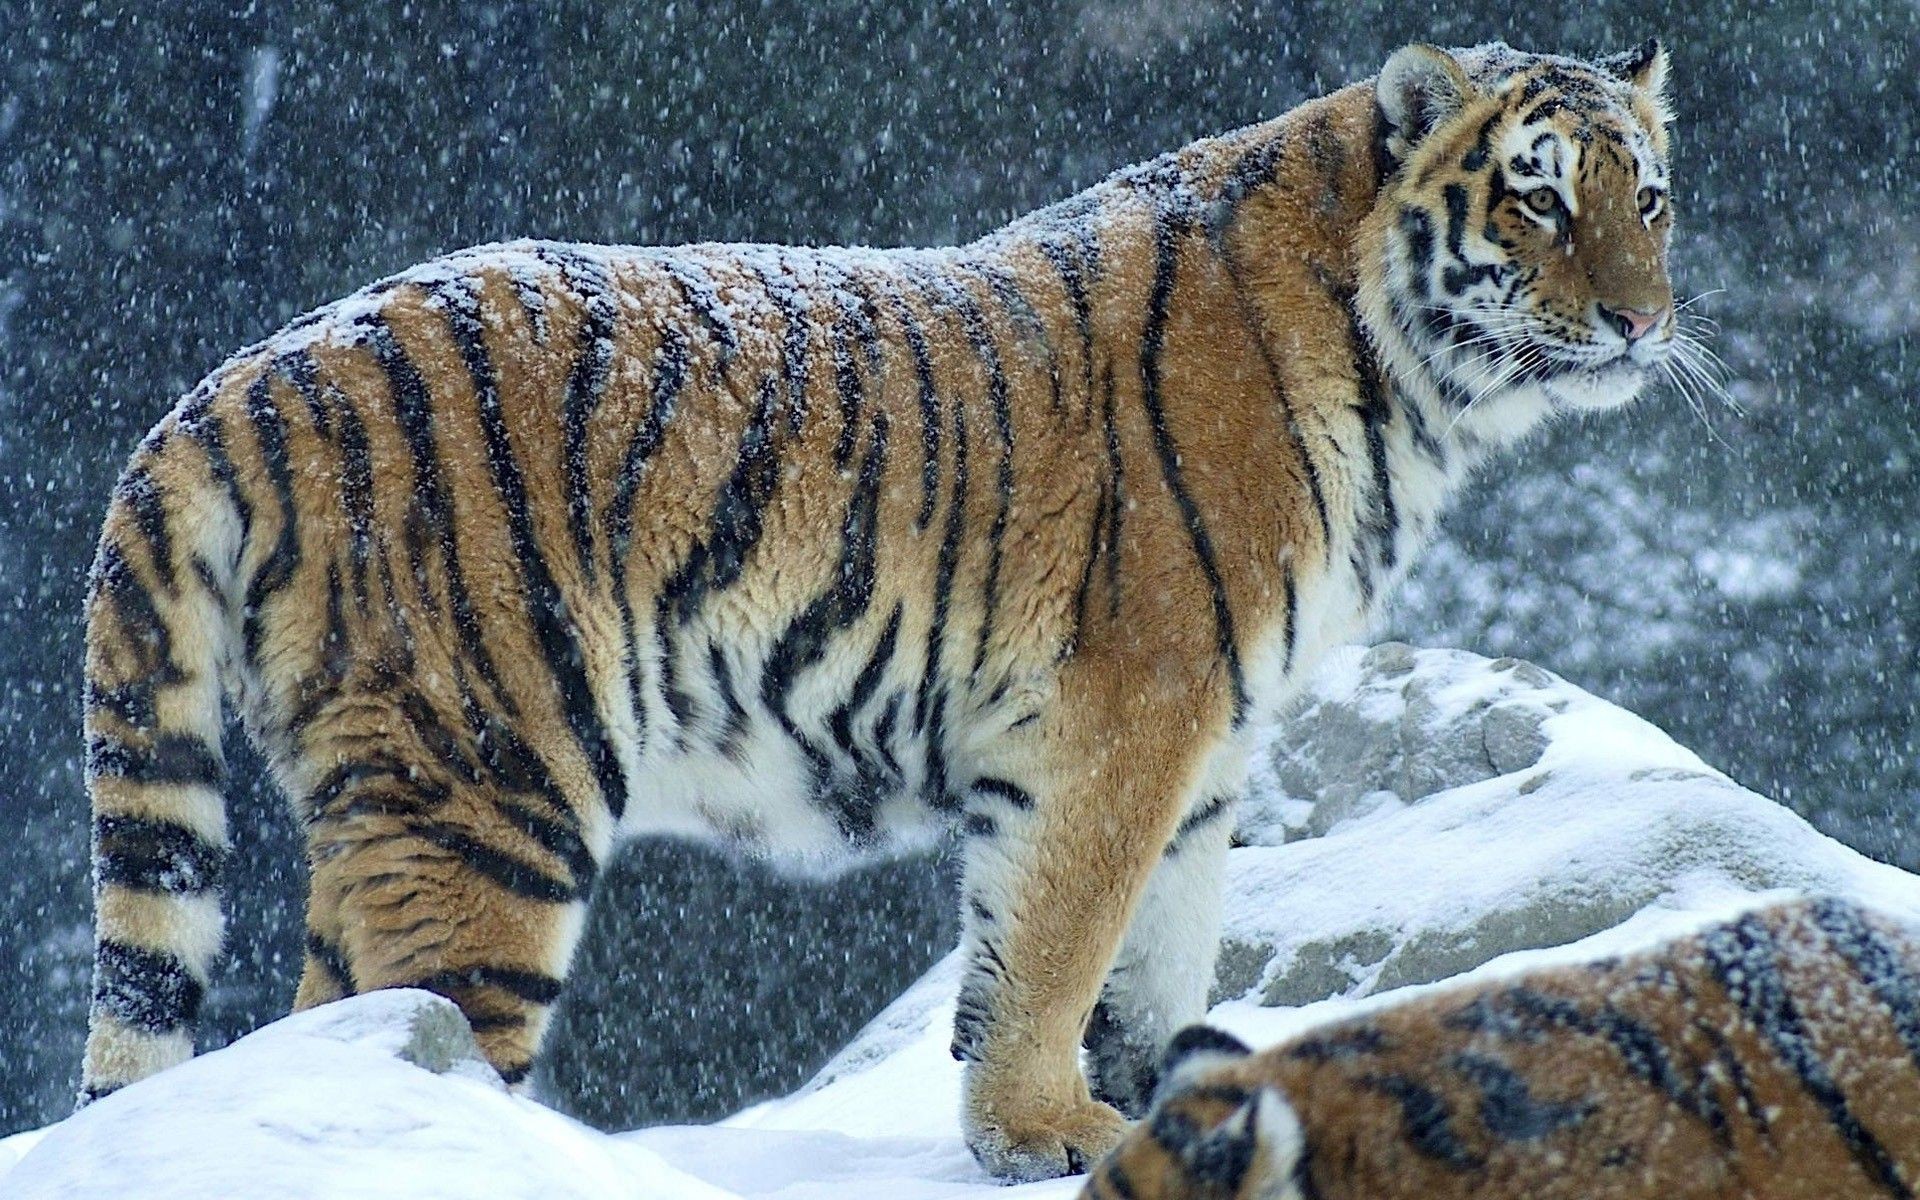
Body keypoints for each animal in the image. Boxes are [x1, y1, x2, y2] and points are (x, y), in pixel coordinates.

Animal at [76, 38, 1683, 1180]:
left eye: (1648, 197)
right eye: (1540, 194)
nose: (1642, 320)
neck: (1414, 389)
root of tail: (239, 379)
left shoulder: (1211, 751)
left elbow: (1153, 952)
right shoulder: (1124, 722)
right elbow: (1057, 945)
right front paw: (1047, 1134)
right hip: (487, 792)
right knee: (408, 1037)